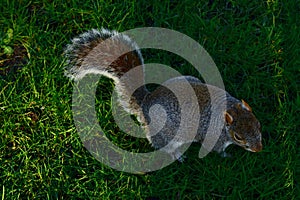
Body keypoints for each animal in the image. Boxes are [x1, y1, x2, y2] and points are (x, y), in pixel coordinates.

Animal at [63, 28, 262, 161]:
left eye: (258, 124)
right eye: (238, 137)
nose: (258, 149)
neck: (230, 108)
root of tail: (145, 103)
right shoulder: (214, 137)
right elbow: (217, 149)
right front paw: (226, 155)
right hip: (165, 136)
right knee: (163, 147)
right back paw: (177, 155)